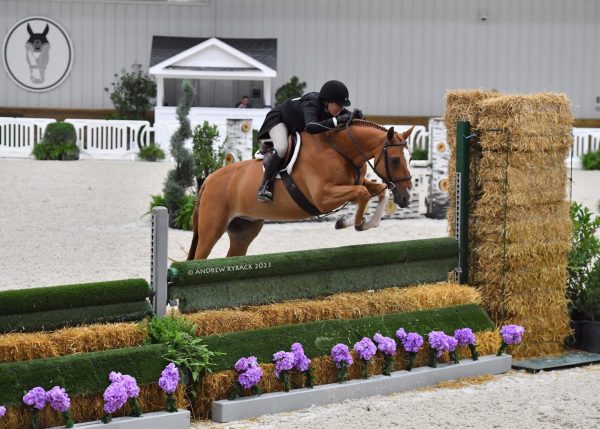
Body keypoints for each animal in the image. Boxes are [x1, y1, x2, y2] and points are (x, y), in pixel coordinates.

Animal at [186, 118, 412, 260]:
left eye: (409, 159)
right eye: (395, 160)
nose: (406, 198)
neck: (339, 150)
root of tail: (208, 180)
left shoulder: (354, 183)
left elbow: (379, 192)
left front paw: (363, 223)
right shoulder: (323, 198)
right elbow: (363, 194)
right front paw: (351, 223)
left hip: (243, 231)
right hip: (211, 229)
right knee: (198, 258)